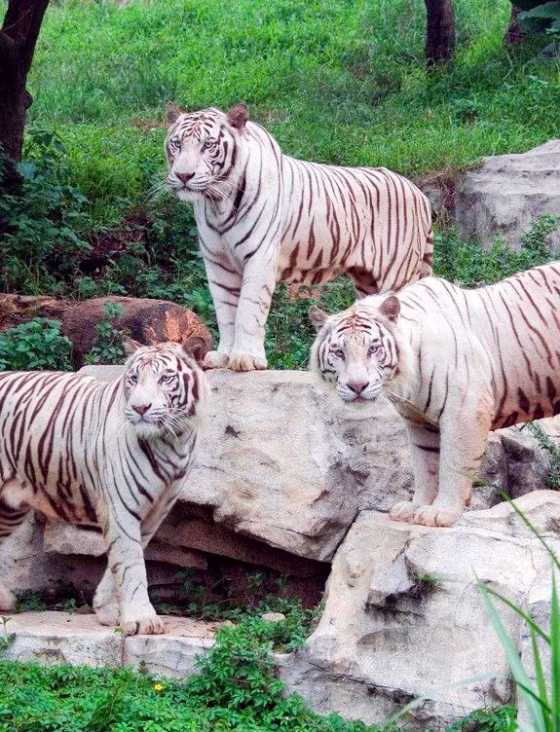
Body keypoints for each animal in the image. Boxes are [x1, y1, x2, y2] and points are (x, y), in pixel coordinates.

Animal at [0, 337, 209, 635]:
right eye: (134, 378)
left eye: (165, 378)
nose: (140, 408)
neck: (173, 440)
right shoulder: (121, 506)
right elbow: (132, 564)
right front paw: (142, 620)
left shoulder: (155, 511)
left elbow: (124, 558)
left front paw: (107, 610)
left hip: (9, 506)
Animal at [164, 103, 433, 372]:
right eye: (177, 144)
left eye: (208, 145)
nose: (184, 175)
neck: (217, 201)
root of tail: (419, 193)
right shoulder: (218, 262)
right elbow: (226, 311)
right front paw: (223, 356)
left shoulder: (259, 257)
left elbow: (248, 311)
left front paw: (246, 358)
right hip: (367, 281)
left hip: (396, 274)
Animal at [309, 262, 560, 527]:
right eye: (339, 352)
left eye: (373, 349)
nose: (357, 386)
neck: (406, 380)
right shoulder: (418, 421)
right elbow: (424, 467)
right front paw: (415, 507)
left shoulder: (466, 411)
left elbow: (453, 465)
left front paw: (441, 513)